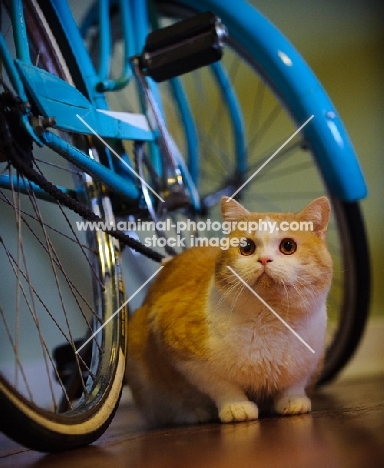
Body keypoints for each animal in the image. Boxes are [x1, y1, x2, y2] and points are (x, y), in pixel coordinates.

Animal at [127, 196, 332, 426]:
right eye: (246, 247)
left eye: (288, 246)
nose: (264, 260)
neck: (270, 317)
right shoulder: (184, 355)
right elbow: (222, 386)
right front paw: (237, 406)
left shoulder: (310, 360)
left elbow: (294, 383)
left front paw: (293, 401)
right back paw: (194, 413)